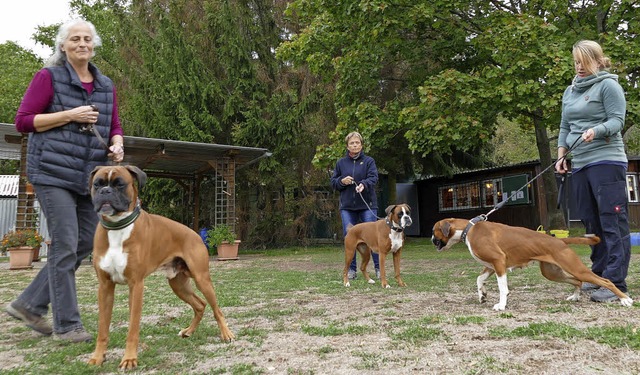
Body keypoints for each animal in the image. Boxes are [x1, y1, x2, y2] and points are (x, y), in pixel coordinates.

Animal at [86, 167, 234, 370]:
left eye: (120, 184)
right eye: (97, 184)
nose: (105, 191)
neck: (117, 228)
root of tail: (195, 233)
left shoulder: (136, 286)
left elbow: (133, 327)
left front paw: (129, 358)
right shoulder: (105, 287)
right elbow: (103, 328)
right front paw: (98, 357)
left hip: (202, 279)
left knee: (216, 309)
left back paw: (226, 334)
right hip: (178, 285)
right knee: (200, 304)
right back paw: (189, 331)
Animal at [432, 217, 632, 312]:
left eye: (434, 231)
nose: (432, 240)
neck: (468, 229)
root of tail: (560, 241)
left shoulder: (498, 262)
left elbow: (503, 288)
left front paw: (501, 305)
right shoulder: (492, 266)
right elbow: (479, 279)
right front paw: (482, 295)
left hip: (575, 268)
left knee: (605, 281)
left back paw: (625, 299)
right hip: (552, 273)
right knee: (577, 281)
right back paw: (575, 296)